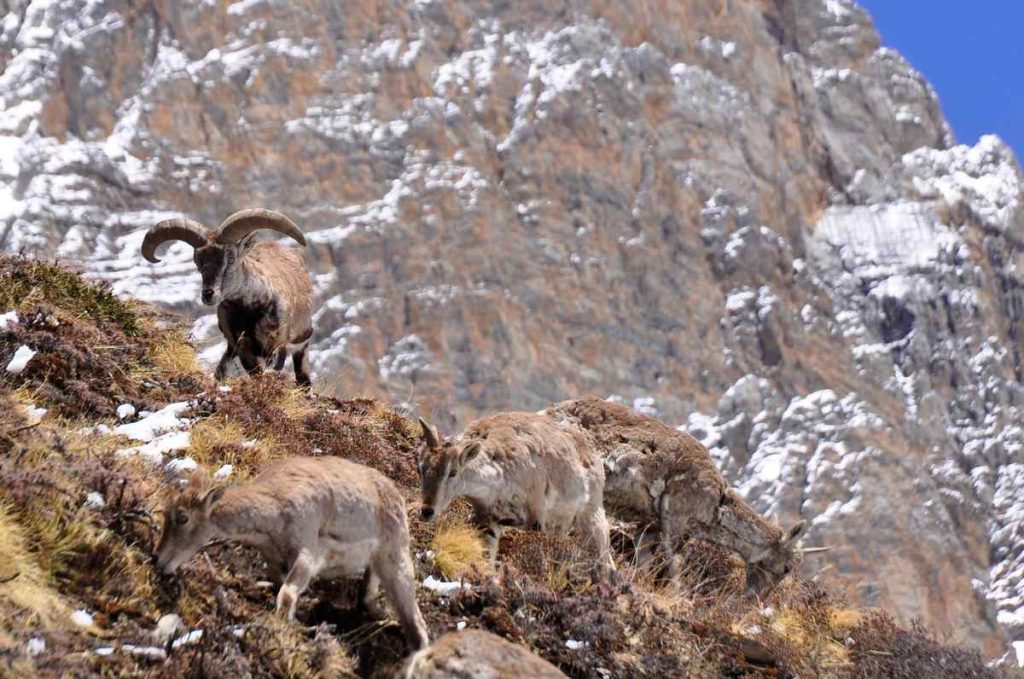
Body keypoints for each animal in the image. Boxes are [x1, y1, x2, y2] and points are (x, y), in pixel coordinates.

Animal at [141, 208, 314, 386]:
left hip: (302, 342)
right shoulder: (241, 346)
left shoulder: (274, 343)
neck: (249, 311)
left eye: (230, 259)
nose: (208, 294)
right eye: (198, 263)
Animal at [155, 457, 429, 650]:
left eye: (182, 518)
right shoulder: (275, 560)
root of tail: (396, 496)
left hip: (397, 558)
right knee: (367, 598)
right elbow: (279, 587)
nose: (158, 560)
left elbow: (286, 595)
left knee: (416, 623)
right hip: (375, 565)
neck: (275, 508)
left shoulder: (307, 554)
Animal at [417, 412, 614, 571]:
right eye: (421, 468)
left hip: (591, 515)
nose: (427, 511)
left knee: (605, 557)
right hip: (561, 526)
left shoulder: (536, 514)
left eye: (453, 472)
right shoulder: (488, 518)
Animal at [546, 397, 816, 592]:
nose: (755, 599)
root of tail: (552, 411)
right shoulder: (674, 517)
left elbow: (643, 561)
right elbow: (674, 566)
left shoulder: (650, 526)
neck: (717, 507)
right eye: (786, 568)